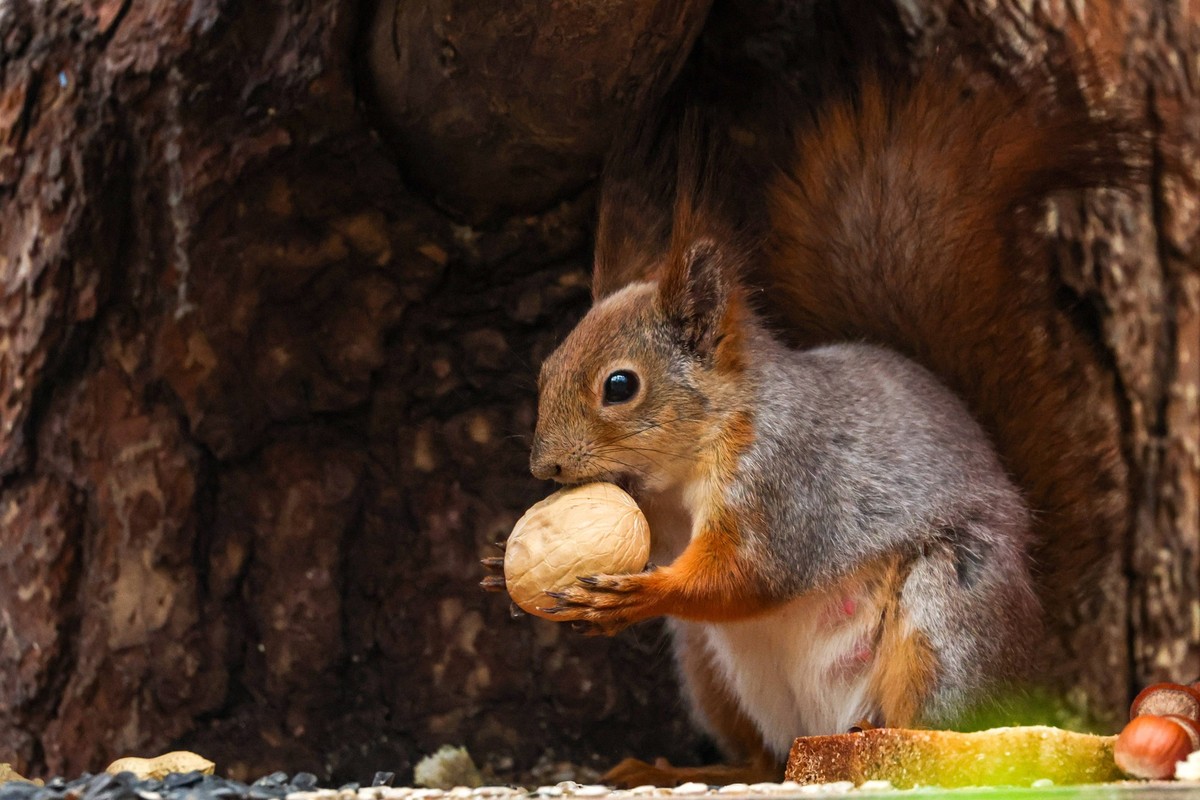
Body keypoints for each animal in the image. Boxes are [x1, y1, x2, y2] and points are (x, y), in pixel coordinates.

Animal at [522, 57, 1144, 787]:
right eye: (546, 368)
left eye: (619, 386)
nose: (544, 467)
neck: (683, 469)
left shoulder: (788, 479)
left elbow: (750, 573)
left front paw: (642, 593)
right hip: (709, 669)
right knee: (760, 756)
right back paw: (687, 771)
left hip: (946, 618)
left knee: (938, 714)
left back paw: (891, 742)